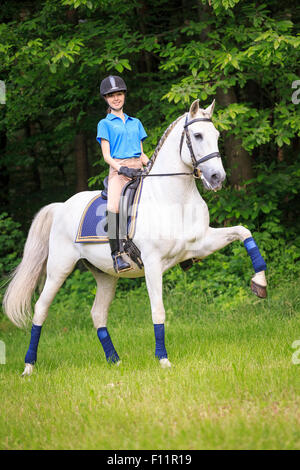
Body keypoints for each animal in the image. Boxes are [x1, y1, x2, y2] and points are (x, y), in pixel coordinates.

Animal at [2, 98, 268, 374]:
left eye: (216, 135)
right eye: (197, 135)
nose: (217, 178)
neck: (174, 198)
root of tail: (61, 206)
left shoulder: (200, 244)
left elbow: (243, 232)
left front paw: (259, 283)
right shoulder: (152, 263)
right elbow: (158, 311)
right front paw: (163, 359)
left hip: (105, 275)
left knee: (98, 314)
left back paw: (115, 361)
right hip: (59, 269)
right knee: (41, 310)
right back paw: (29, 367)